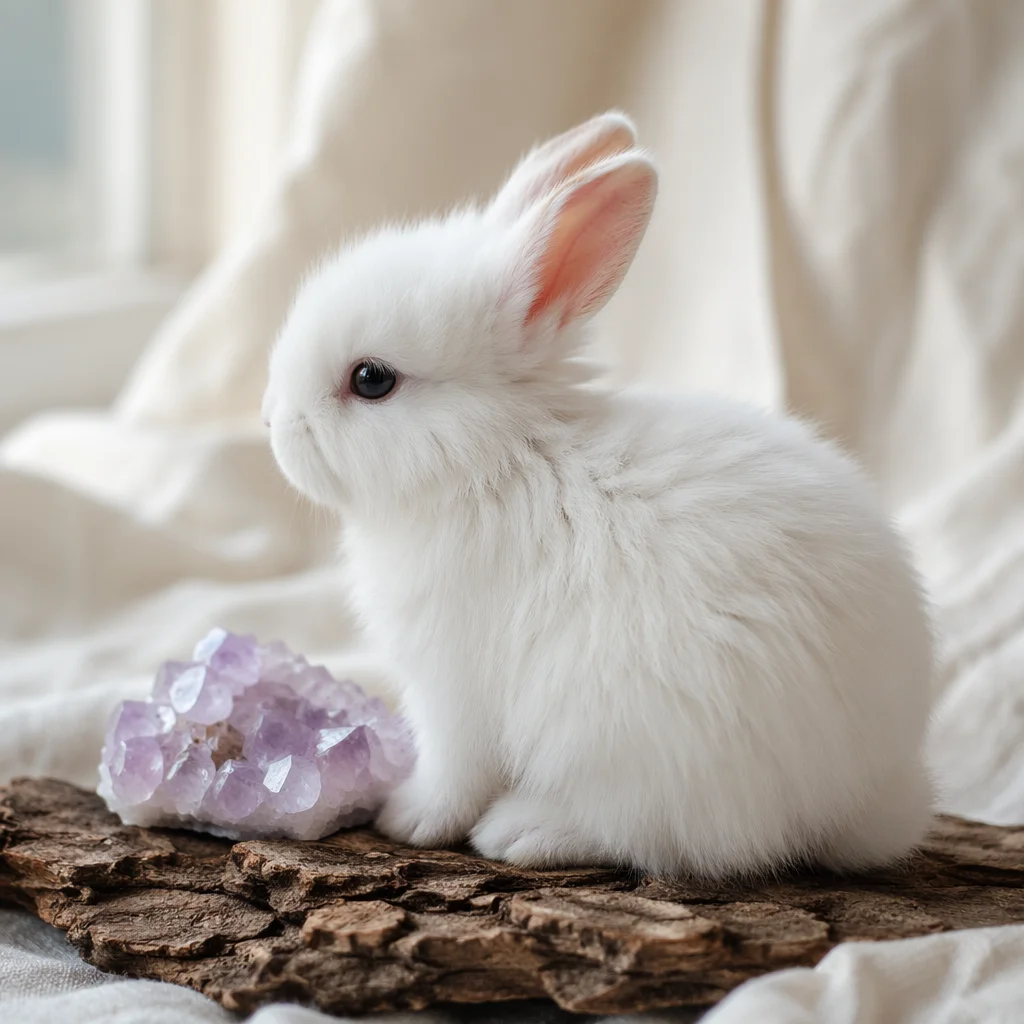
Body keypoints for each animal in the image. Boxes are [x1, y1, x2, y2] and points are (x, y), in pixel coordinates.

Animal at [263, 111, 935, 879]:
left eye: (371, 379)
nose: (272, 421)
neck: (497, 459)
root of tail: (867, 790)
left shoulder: (453, 687)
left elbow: (454, 770)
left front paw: (407, 817)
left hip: (648, 747)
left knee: (658, 833)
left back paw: (524, 830)